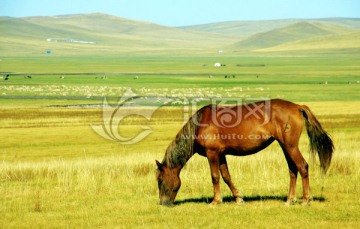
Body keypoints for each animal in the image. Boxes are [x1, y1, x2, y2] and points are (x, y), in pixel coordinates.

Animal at [156, 99, 334, 207]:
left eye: (160, 180)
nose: (163, 203)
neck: (200, 124)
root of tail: (297, 106)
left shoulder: (212, 154)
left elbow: (215, 177)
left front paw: (216, 201)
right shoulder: (221, 155)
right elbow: (226, 176)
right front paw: (238, 198)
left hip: (290, 146)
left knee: (302, 166)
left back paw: (306, 199)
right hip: (285, 146)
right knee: (292, 170)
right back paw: (290, 199)